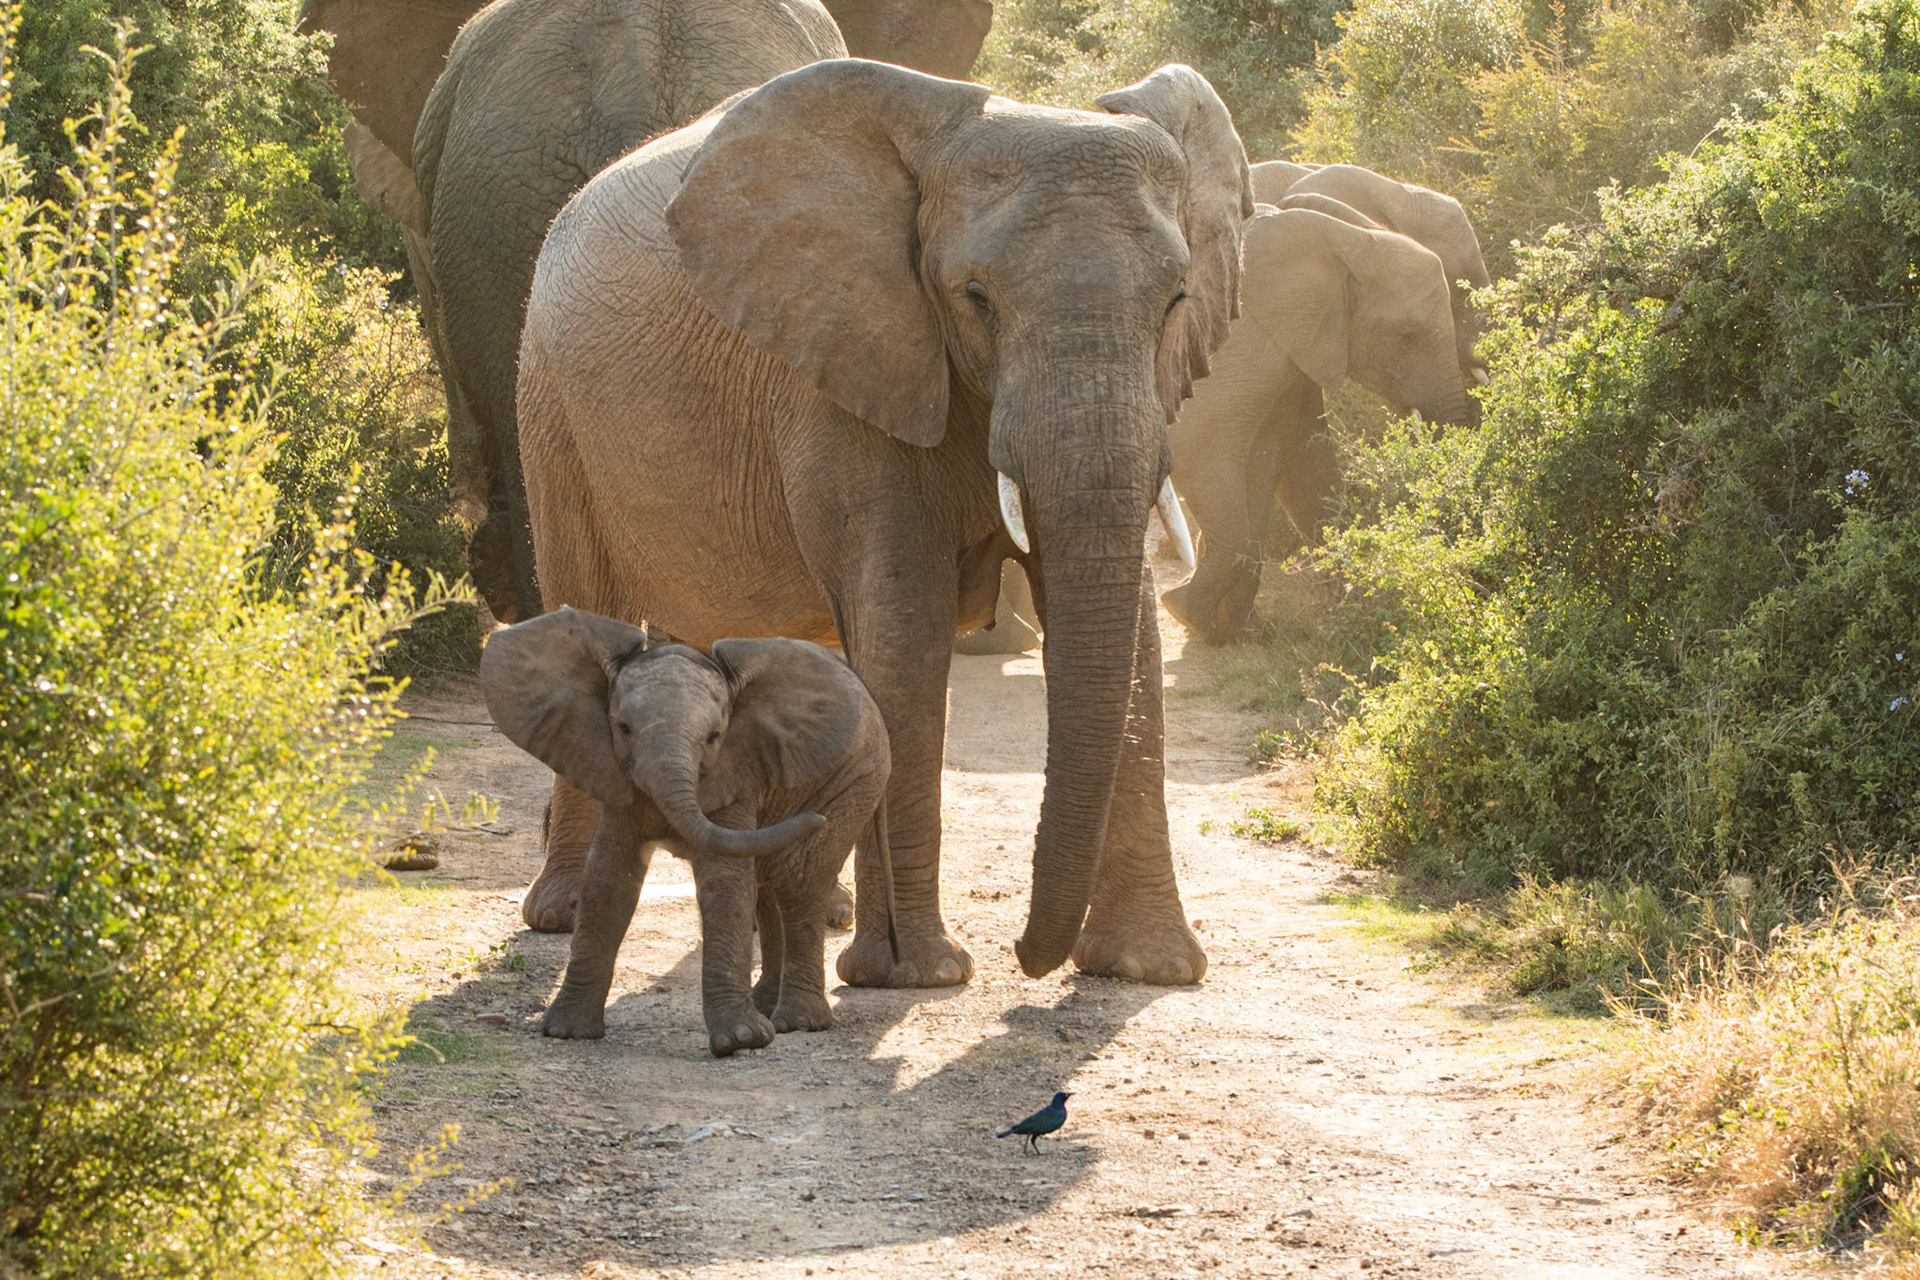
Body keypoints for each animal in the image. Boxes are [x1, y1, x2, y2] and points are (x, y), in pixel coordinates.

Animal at [480, 608, 895, 1056]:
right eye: (623, 728)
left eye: (714, 737)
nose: (814, 818)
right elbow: (609, 879)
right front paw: (566, 1032)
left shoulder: (734, 774)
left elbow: (723, 882)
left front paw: (739, 1041)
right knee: (769, 886)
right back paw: (766, 1007)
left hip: (858, 779)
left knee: (798, 880)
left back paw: (796, 1023)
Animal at [513, 59, 1254, 988]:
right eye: (974, 298)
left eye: (1177, 299)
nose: (1025, 958)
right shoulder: (846, 362)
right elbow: (905, 629)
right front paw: (914, 975)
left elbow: (1134, 636)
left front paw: (1147, 970)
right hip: (549, 405)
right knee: (584, 605)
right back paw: (567, 913)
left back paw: (804, 905)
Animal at [1160, 205, 1472, 642]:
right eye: (1407, 336)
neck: (1342, 239)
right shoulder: (1234, 339)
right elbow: (1198, 446)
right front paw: (1188, 615)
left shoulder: (1297, 352)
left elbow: (1296, 459)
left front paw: (1233, 631)